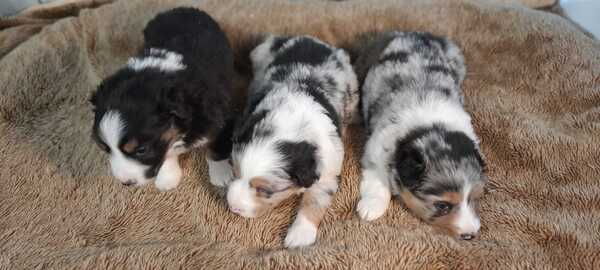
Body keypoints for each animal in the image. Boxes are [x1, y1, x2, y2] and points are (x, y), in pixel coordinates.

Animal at [90, 7, 236, 191]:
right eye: (105, 148)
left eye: (142, 150)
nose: (126, 183)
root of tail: (182, 8)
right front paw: (167, 177)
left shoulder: (220, 116)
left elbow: (215, 145)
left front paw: (221, 175)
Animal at [224, 34, 356, 248]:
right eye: (234, 172)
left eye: (265, 190)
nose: (233, 207)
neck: (292, 121)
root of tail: (310, 38)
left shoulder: (328, 171)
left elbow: (315, 201)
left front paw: (300, 236)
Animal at [356, 32, 488, 240]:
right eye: (443, 206)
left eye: (474, 198)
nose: (470, 235)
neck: (432, 124)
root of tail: (414, 34)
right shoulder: (375, 150)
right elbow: (378, 179)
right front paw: (371, 207)